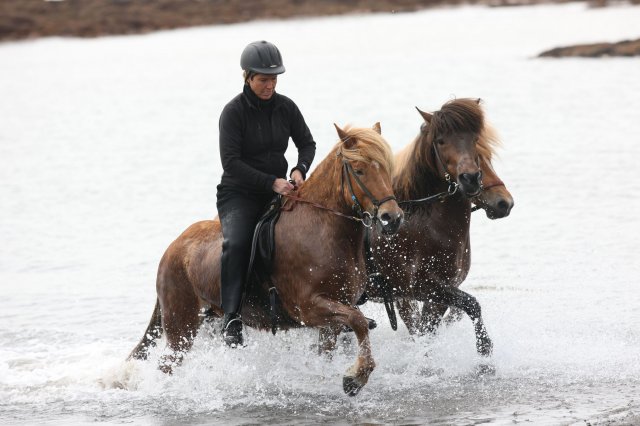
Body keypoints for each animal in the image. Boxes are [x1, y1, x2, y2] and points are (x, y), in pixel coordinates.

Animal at [127, 122, 402, 396]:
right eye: (360, 170)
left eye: (387, 168)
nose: (392, 217)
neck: (321, 228)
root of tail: (173, 248)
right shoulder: (309, 308)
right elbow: (358, 321)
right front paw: (356, 377)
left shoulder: (333, 318)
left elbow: (340, 339)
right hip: (181, 326)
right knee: (167, 364)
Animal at [364, 100, 516, 360]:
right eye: (441, 141)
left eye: (476, 141)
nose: (503, 203)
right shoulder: (413, 291)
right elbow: (467, 306)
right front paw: (484, 349)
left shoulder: (442, 291)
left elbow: (434, 326)